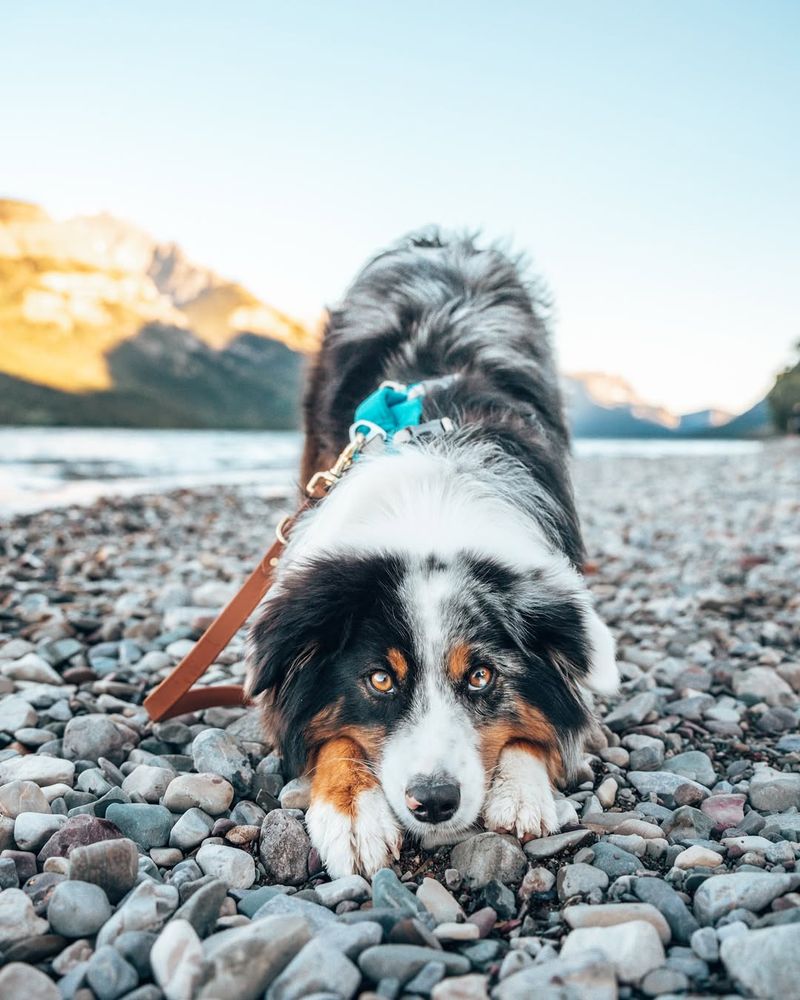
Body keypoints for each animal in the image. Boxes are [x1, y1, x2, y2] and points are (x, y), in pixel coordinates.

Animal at [247, 232, 616, 876]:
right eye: (379, 680)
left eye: (481, 676)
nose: (435, 801)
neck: (431, 512)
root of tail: (447, 243)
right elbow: (332, 738)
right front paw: (352, 812)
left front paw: (520, 789)